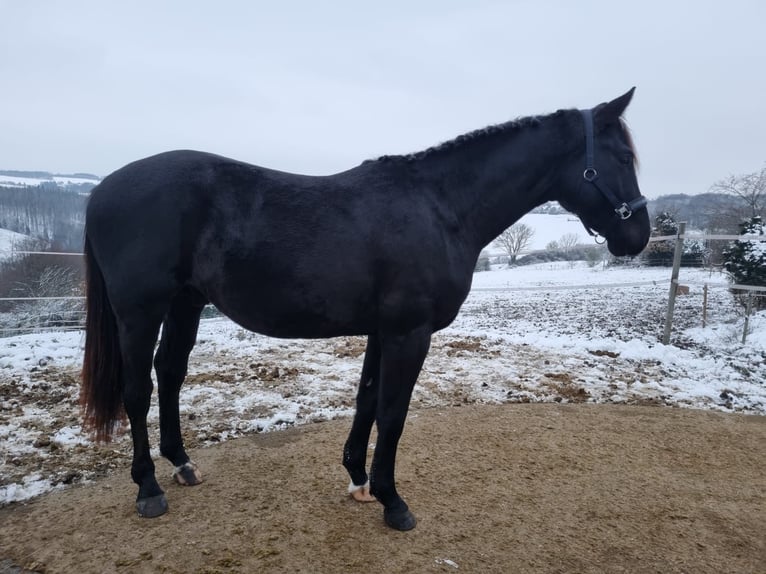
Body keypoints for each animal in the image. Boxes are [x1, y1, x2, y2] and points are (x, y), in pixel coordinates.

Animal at [82, 89, 648, 532]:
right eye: (622, 157)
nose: (638, 236)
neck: (441, 207)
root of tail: (101, 190)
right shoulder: (409, 332)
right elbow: (394, 413)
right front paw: (393, 501)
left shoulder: (384, 330)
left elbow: (368, 401)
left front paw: (358, 479)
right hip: (140, 311)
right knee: (138, 390)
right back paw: (149, 489)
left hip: (186, 303)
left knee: (170, 373)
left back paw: (182, 464)